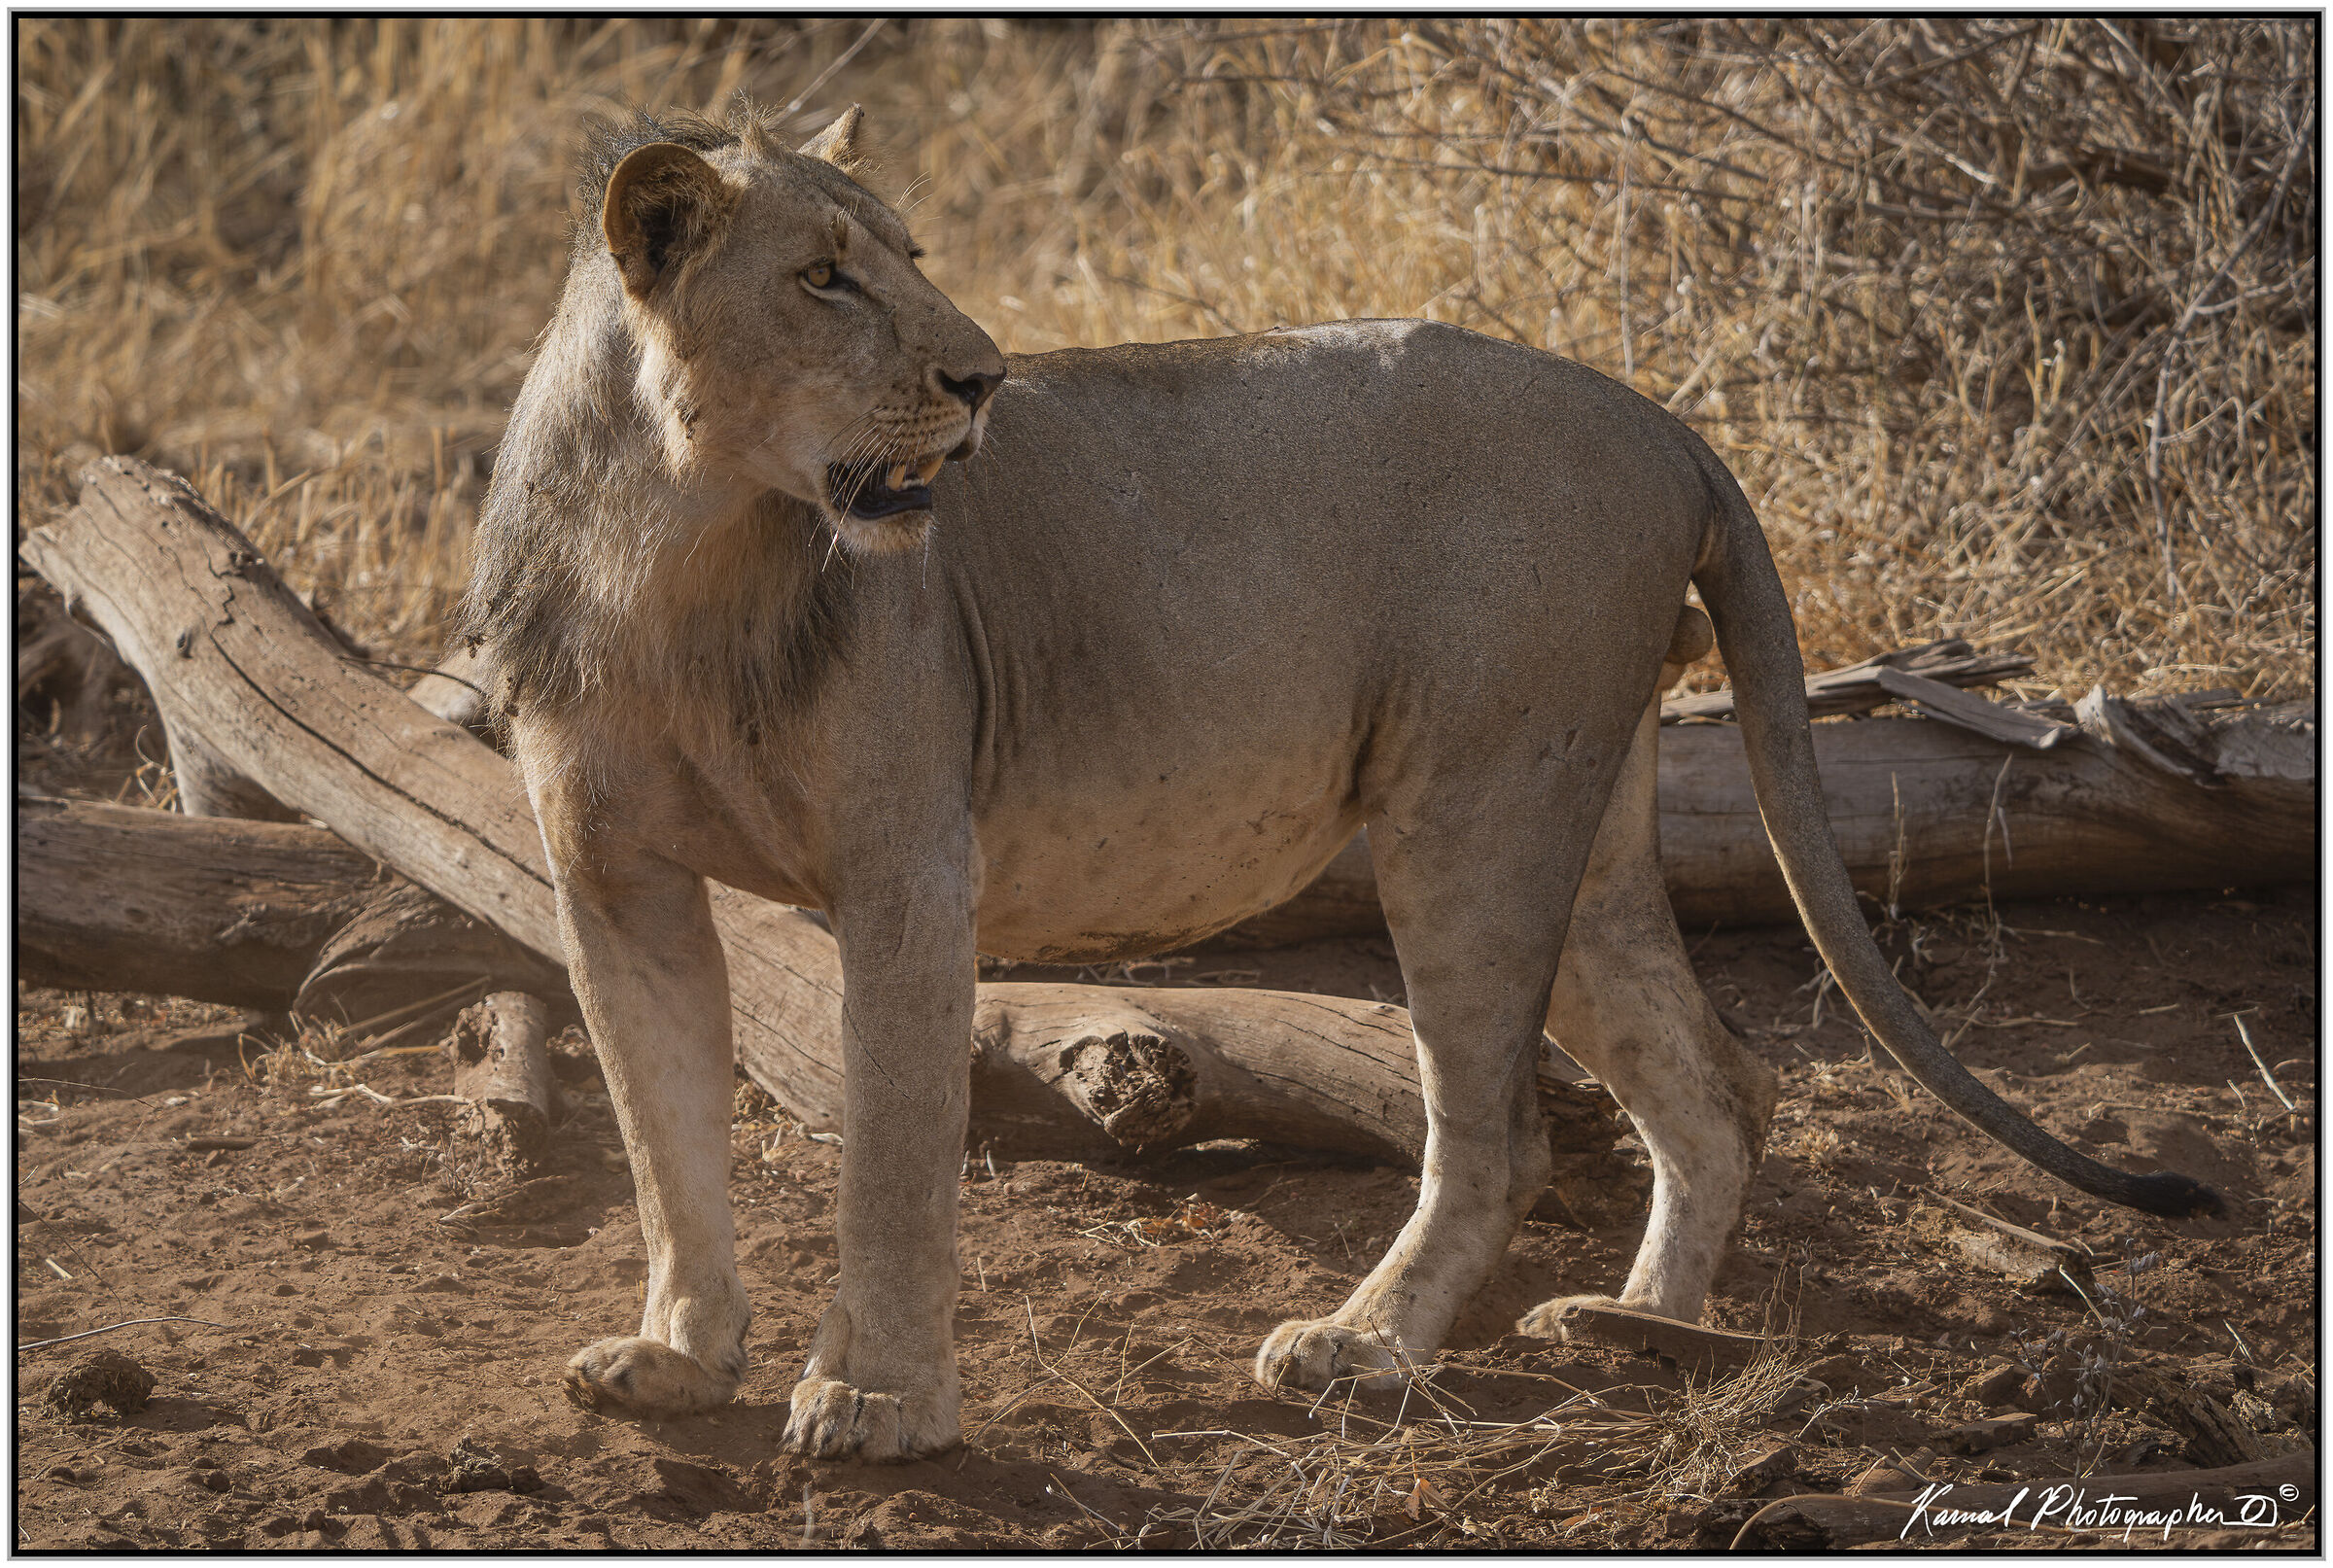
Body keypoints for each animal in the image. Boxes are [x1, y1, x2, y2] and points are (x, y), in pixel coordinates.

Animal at [458, 103, 2219, 1462]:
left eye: (910, 257)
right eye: (824, 277)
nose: (986, 378)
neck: (673, 556)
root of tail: (1662, 421)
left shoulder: (907, 865)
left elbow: (892, 1151)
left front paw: (880, 1402)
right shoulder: (608, 878)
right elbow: (662, 1135)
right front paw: (678, 1356)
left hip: (1475, 813)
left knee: (1503, 1136)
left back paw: (1365, 1346)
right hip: (1580, 816)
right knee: (1718, 1078)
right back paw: (1643, 1329)